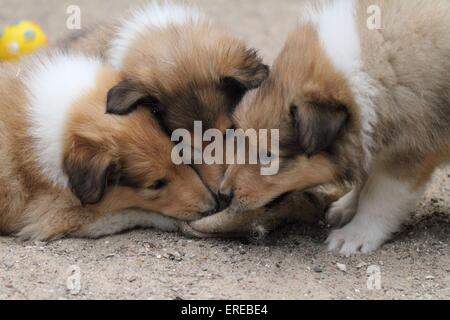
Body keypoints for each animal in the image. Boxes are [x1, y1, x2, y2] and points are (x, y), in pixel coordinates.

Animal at [211, 0, 450, 255]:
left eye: (268, 155)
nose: (223, 194)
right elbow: (365, 177)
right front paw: (345, 207)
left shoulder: (407, 154)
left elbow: (379, 197)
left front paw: (354, 235)